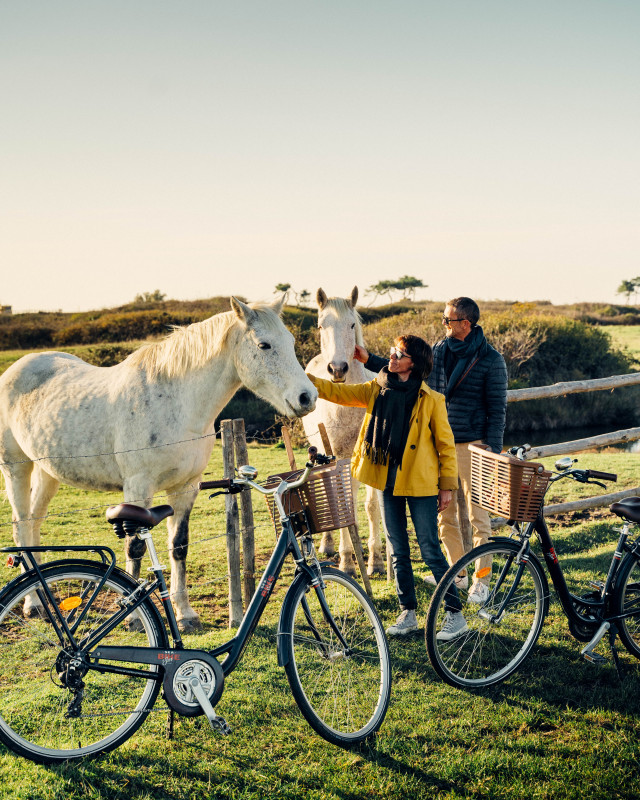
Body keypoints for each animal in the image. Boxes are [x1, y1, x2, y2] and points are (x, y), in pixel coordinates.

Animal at [0, 296, 316, 628]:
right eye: (264, 345)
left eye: (291, 342)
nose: (307, 397)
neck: (176, 404)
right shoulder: (138, 488)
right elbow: (135, 548)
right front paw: (133, 616)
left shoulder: (186, 488)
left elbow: (179, 546)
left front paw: (185, 614)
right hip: (17, 468)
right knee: (21, 527)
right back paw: (33, 604)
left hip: (47, 471)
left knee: (34, 524)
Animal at [304, 288, 388, 576]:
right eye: (321, 325)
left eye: (352, 324)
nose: (337, 368)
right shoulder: (338, 459)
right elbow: (340, 505)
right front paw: (348, 563)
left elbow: (371, 507)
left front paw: (375, 560)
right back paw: (329, 546)